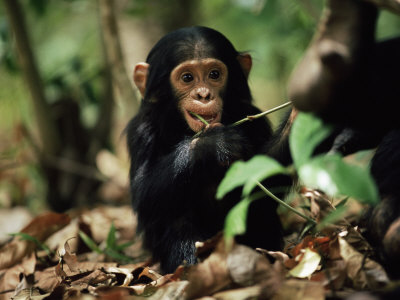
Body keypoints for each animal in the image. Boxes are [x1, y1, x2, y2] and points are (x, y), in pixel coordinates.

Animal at [126, 26, 282, 274]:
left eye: (214, 75)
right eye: (187, 78)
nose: (203, 94)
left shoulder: (254, 119)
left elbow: (272, 179)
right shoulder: (141, 130)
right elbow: (143, 194)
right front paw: (213, 144)